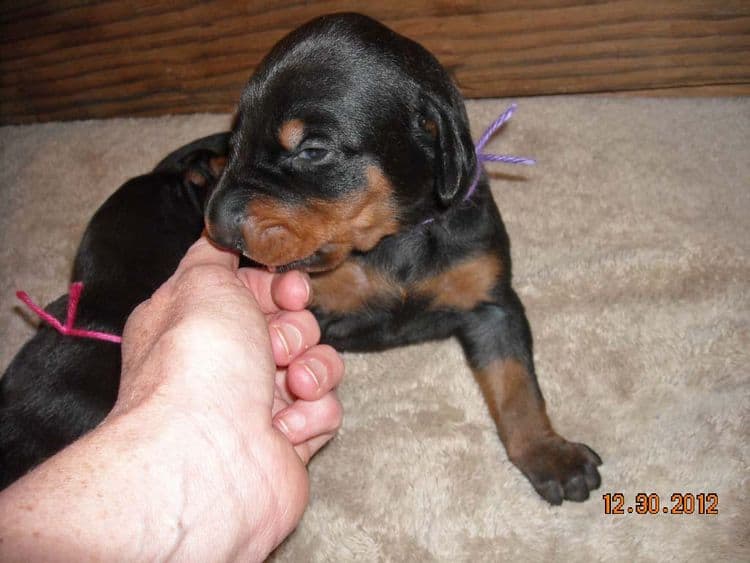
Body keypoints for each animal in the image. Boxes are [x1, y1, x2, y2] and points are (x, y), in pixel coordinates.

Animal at [203, 14, 604, 506]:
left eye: (313, 151)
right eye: (235, 138)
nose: (216, 228)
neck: (395, 238)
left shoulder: (492, 304)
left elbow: (517, 387)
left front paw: (550, 453)